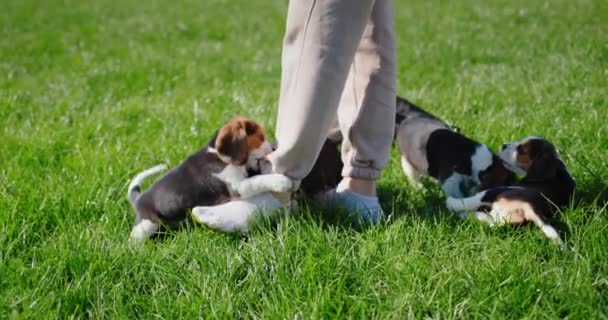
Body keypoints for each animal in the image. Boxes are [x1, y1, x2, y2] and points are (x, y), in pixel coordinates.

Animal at [126, 116, 292, 241]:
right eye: (260, 137)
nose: (274, 148)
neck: (217, 155)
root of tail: (138, 198)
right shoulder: (238, 186)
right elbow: (258, 180)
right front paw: (282, 181)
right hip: (147, 224)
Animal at [444, 137, 576, 245]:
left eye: (522, 149)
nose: (504, 145)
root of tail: (532, 206)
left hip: (497, 192)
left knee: (470, 201)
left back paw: (452, 204)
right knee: (490, 221)